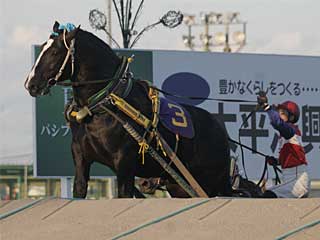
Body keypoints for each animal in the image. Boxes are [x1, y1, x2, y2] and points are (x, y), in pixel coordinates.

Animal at [25, 22, 232, 199]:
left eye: (54, 52)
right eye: (42, 47)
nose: (30, 83)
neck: (105, 105)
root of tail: (221, 130)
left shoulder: (124, 163)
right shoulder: (81, 158)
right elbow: (80, 189)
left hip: (210, 182)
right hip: (179, 186)